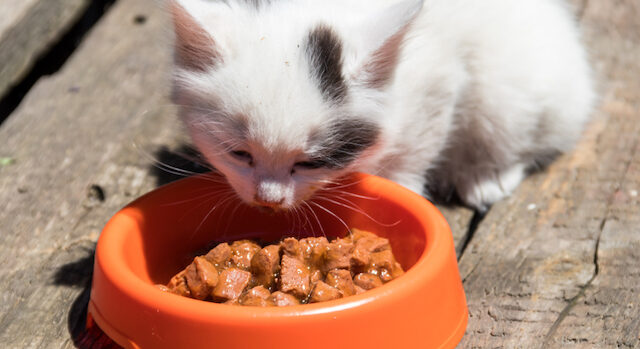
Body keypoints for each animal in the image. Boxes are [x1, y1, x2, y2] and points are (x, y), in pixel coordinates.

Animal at [170, 0, 596, 211]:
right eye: (238, 154)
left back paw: (484, 177)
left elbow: (415, 147)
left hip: (514, 92)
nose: (268, 200)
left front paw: (400, 187)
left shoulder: (437, 82)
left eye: (310, 163)